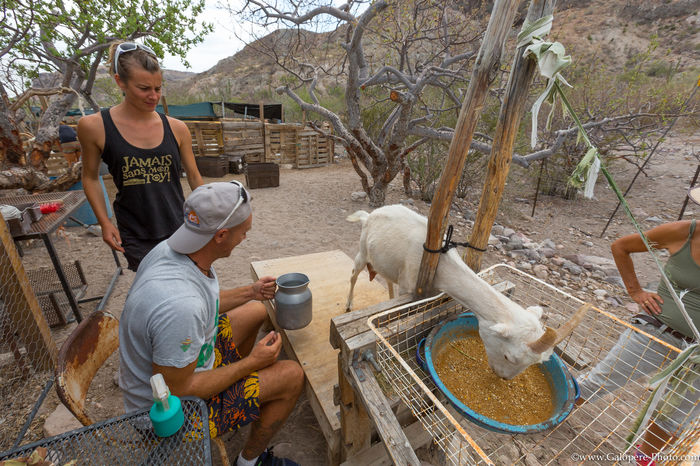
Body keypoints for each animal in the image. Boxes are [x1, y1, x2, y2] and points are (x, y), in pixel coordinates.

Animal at [348, 204, 588, 378]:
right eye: (509, 357)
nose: (503, 377)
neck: (440, 265)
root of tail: (369, 214)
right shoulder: (409, 286)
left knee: (386, 279)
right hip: (362, 249)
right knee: (353, 274)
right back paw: (349, 304)